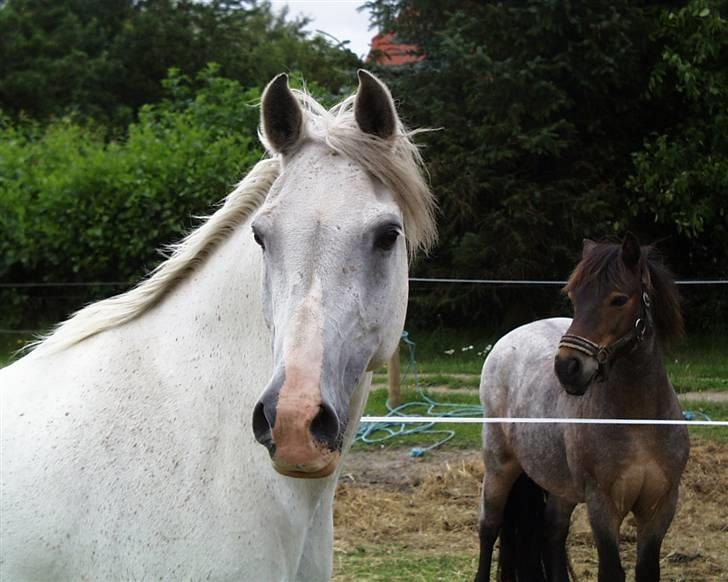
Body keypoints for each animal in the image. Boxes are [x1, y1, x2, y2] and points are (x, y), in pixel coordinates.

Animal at [474, 235, 692, 580]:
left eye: (618, 299)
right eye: (575, 297)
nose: (567, 368)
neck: (639, 423)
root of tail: (506, 341)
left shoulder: (659, 507)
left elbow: (647, 569)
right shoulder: (602, 505)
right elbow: (611, 571)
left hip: (560, 489)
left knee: (552, 532)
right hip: (499, 466)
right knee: (489, 529)